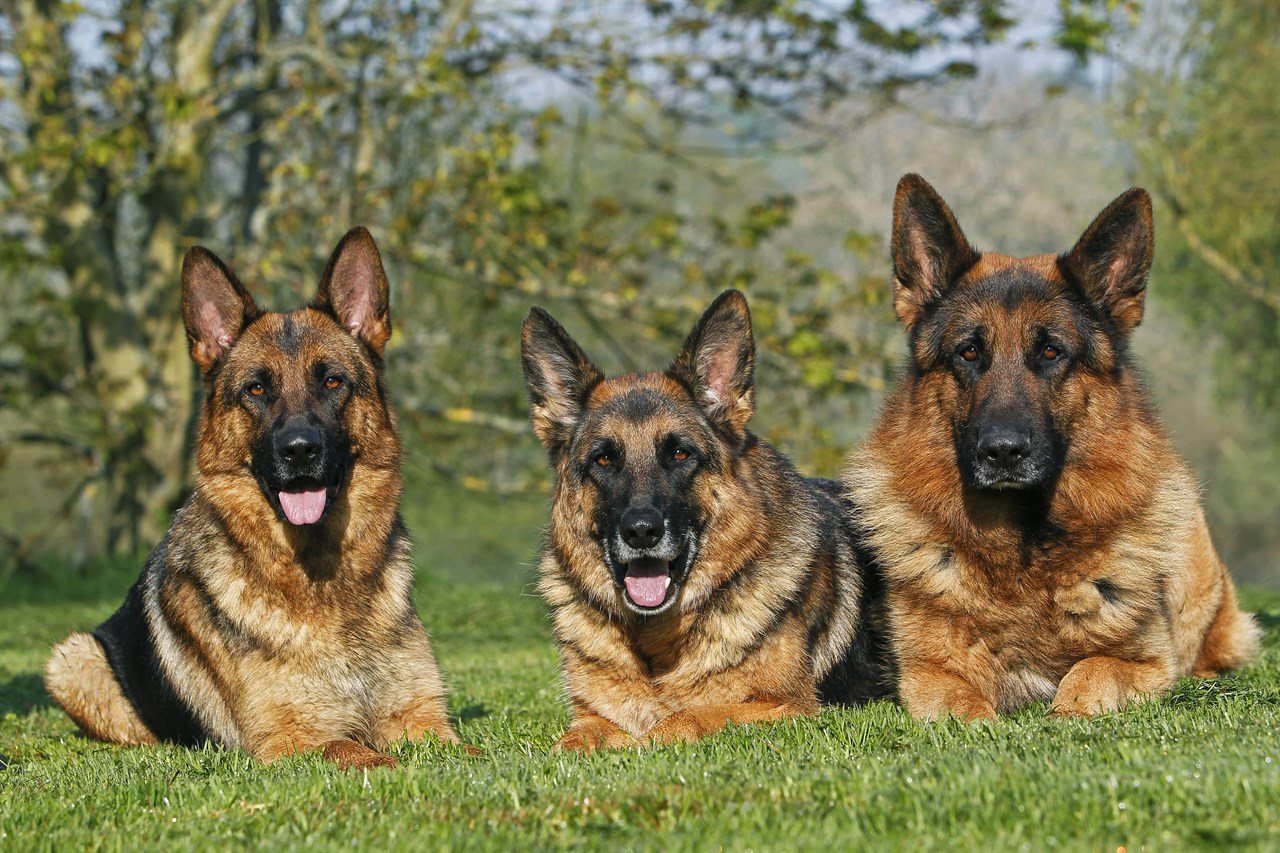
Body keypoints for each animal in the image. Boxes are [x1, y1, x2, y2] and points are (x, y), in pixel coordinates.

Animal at [45, 225, 465, 763]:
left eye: (333, 381)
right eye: (257, 390)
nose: (299, 451)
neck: (321, 576)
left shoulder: (424, 720)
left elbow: (472, 753)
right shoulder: (290, 738)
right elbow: (360, 753)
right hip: (73, 659)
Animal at [514, 289, 885, 747]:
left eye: (679, 454)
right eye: (603, 460)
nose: (641, 532)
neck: (655, 641)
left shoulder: (787, 707)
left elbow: (689, 717)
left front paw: (650, 739)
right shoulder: (590, 717)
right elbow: (571, 743)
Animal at [839, 174, 1259, 717]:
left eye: (1052, 351)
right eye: (968, 352)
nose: (1003, 451)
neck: (1024, 555)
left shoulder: (1142, 664)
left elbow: (1090, 673)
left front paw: (1068, 712)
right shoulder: (929, 672)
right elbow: (966, 710)